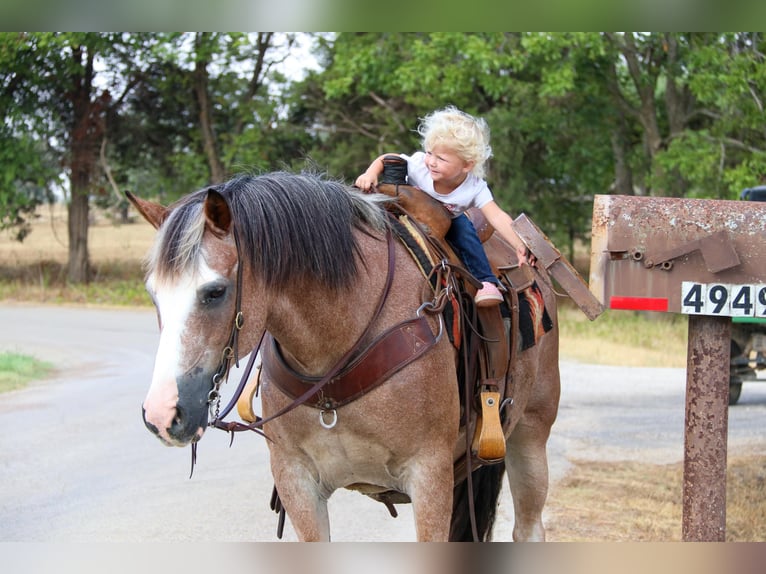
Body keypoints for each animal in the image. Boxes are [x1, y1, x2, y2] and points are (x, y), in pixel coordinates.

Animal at [127, 173, 564, 544]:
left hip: (529, 435)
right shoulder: (296, 480)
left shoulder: (429, 475)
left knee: (529, 527)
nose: (163, 414)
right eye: (153, 293)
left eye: (215, 292)